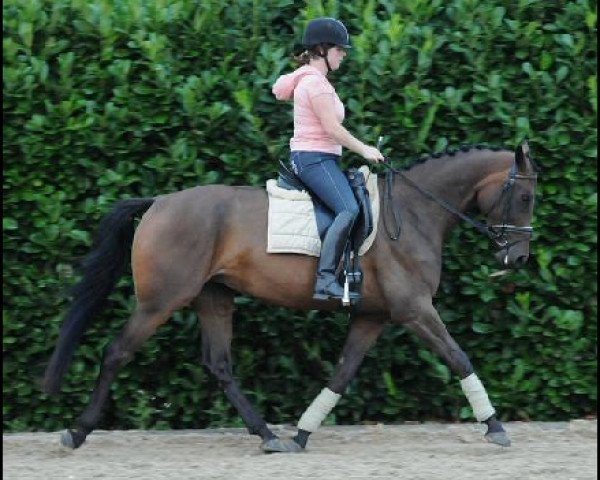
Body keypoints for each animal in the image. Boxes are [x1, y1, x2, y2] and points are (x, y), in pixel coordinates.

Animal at [42, 140, 540, 454]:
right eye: (526, 197)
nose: (517, 257)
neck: (415, 213)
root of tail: (159, 202)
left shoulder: (374, 316)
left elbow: (341, 374)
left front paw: (302, 432)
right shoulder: (415, 310)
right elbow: (459, 358)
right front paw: (495, 427)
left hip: (214, 299)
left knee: (219, 365)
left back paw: (268, 435)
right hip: (160, 302)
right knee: (117, 352)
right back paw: (77, 432)